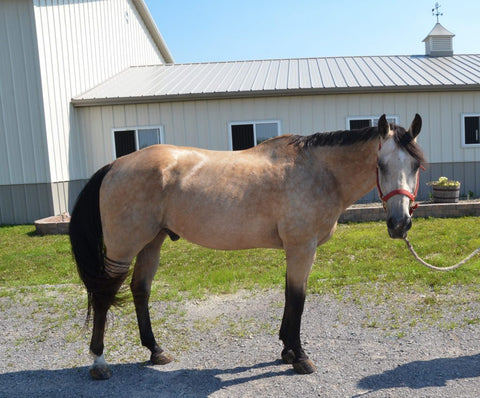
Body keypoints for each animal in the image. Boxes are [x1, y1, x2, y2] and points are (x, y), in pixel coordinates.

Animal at [68, 112, 424, 380]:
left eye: (415, 166)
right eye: (381, 164)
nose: (400, 224)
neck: (319, 171)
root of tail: (115, 166)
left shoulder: (296, 250)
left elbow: (290, 296)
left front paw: (286, 350)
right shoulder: (302, 247)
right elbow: (297, 298)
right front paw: (300, 357)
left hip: (150, 244)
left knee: (140, 291)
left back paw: (156, 351)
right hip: (122, 248)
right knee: (103, 296)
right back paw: (99, 363)